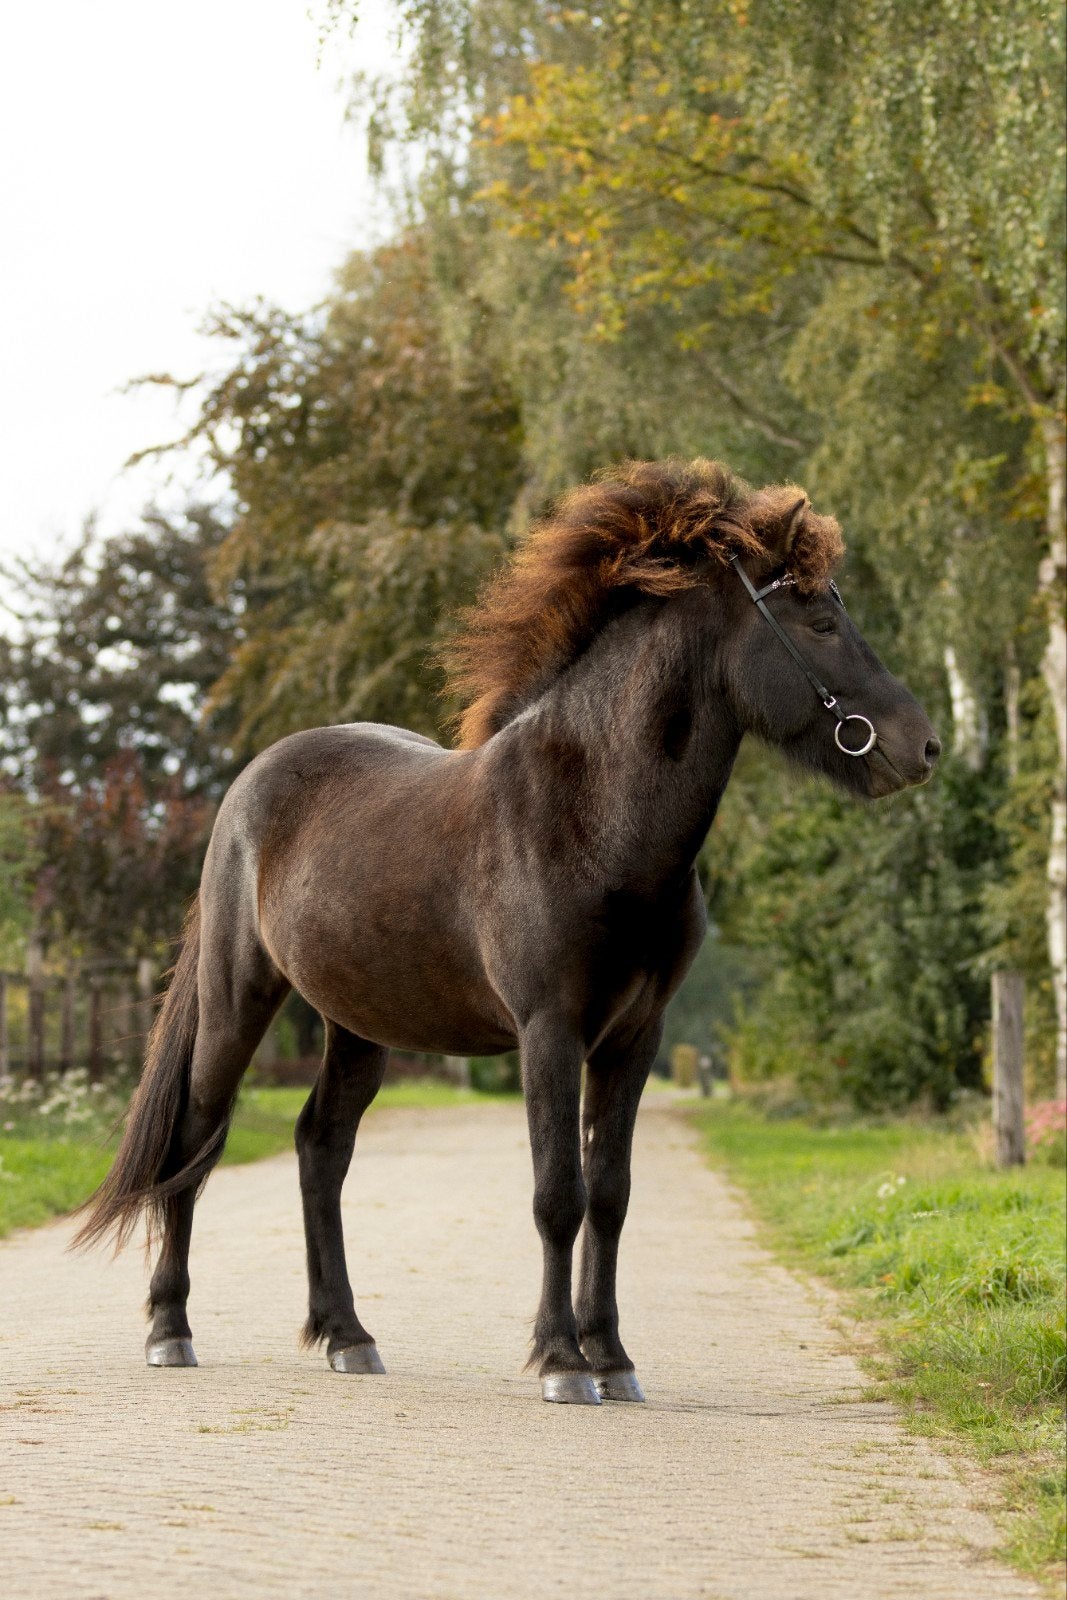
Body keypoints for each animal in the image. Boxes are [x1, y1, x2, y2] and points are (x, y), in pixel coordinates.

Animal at [75, 458, 940, 1405]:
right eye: (819, 619)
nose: (922, 747)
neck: (593, 821)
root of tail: (249, 787)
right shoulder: (549, 1030)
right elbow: (557, 1193)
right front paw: (561, 1361)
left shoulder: (635, 1038)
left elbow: (610, 1194)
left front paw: (612, 1358)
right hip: (239, 999)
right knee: (195, 1139)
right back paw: (171, 1328)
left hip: (357, 1025)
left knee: (320, 1148)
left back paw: (348, 1335)